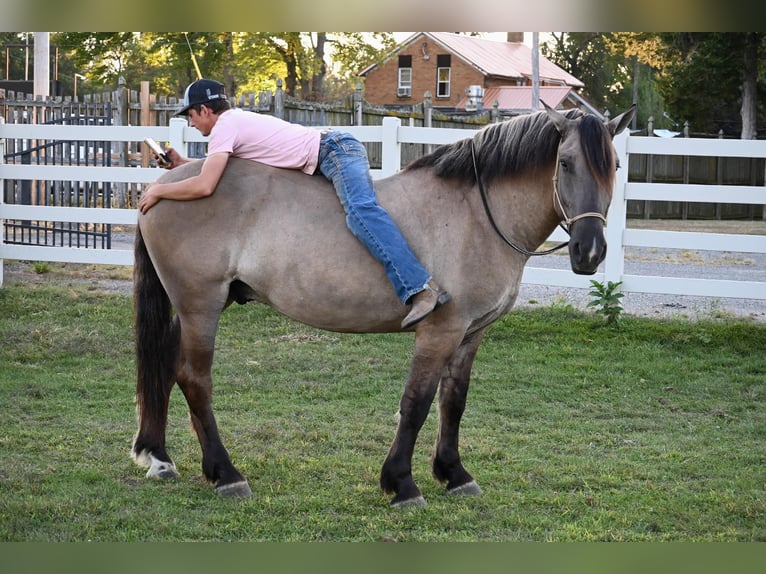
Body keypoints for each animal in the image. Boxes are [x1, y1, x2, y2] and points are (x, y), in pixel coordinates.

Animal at [132, 103, 635, 507]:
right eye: (565, 163)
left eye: (613, 165)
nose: (590, 252)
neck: (476, 213)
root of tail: (163, 185)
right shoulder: (440, 331)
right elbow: (417, 403)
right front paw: (402, 484)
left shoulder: (470, 334)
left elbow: (454, 402)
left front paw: (454, 474)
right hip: (201, 305)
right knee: (194, 379)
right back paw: (226, 474)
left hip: (193, 308)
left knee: (166, 368)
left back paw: (163, 457)